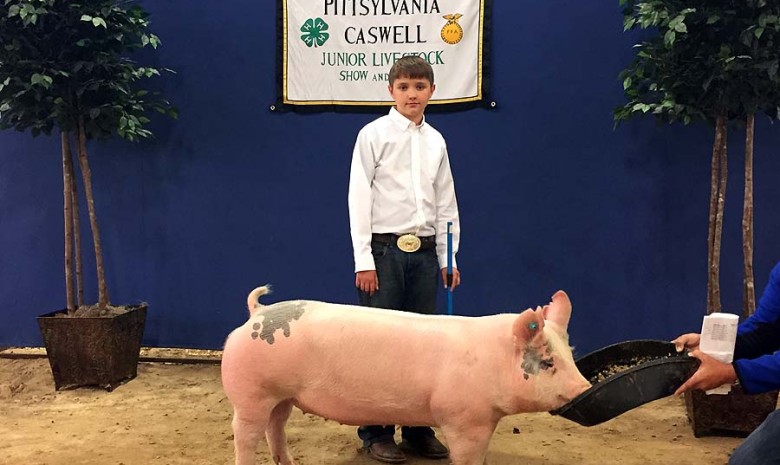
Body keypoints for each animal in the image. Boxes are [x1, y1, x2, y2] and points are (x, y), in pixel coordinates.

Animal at [222, 282, 588, 464]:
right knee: (246, 433)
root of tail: (257, 313)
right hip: (251, 392)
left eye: (570, 354)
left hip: (281, 396)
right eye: (548, 362)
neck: (490, 362)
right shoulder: (463, 418)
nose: (584, 388)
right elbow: (467, 457)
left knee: (275, 427)